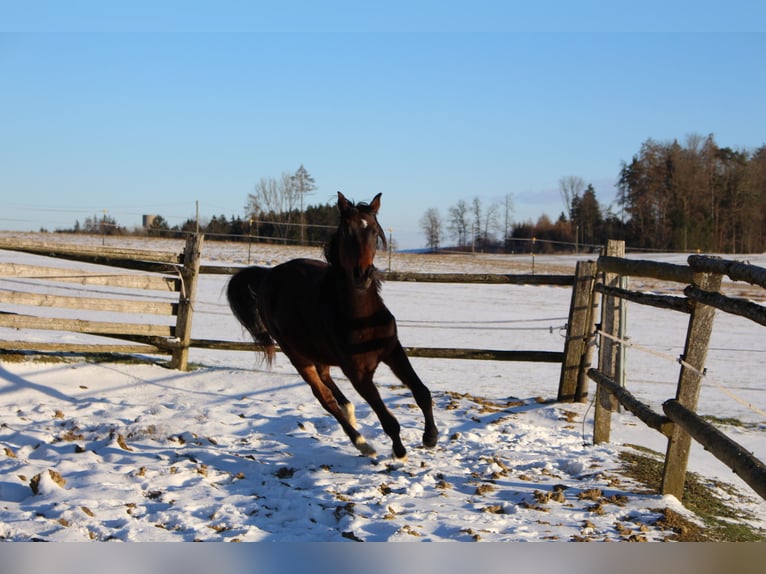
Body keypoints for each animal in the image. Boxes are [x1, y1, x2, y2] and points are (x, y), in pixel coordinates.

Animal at [227, 192, 438, 460]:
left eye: (374, 231)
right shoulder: (357, 374)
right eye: (347, 231)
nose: (362, 275)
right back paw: (362, 443)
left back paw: (350, 411)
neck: (361, 317)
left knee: (327, 378)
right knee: (324, 398)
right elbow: (387, 419)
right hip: (298, 356)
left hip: (315, 351)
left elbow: (422, 393)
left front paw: (430, 438)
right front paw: (399, 452)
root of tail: (266, 276)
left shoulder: (393, 350)